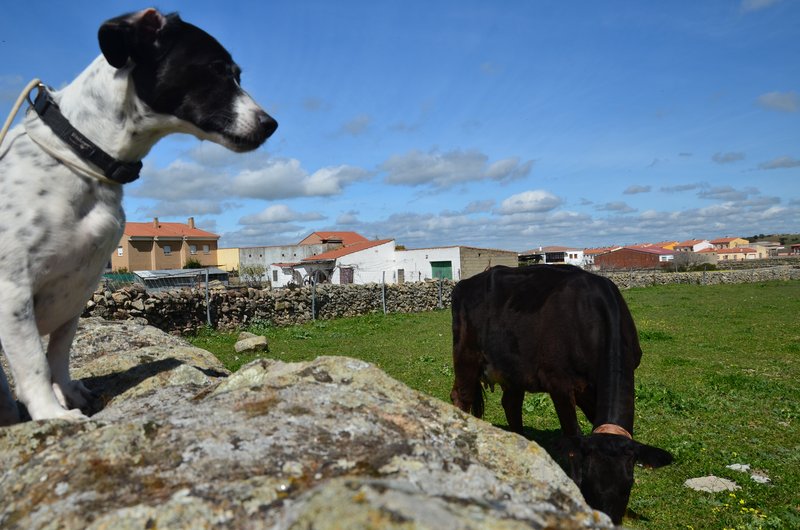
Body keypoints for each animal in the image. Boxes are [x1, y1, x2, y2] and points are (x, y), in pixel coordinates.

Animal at [0, 8, 276, 422]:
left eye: (237, 73)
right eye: (216, 68)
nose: (270, 124)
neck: (83, 158)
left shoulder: (76, 292)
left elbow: (59, 354)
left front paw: (67, 392)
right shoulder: (12, 291)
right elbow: (34, 361)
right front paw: (52, 414)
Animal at [454, 262, 672, 520]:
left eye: (627, 485)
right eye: (587, 483)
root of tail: (467, 282)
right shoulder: (559, 384)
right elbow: (573, 435)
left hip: (514, 368)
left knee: (511, 404)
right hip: (466, 356)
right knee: (462, 396)